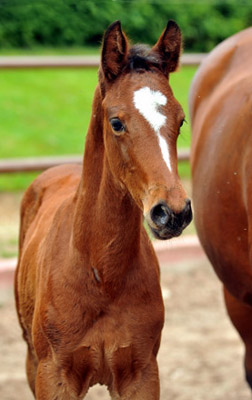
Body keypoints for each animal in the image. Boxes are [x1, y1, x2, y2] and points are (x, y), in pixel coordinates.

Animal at [14, 20, 192, 398]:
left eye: (181, 120)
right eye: (116, 122)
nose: (172, 213)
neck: (102, 277)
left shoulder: (141, 374)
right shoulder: (53, 376)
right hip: (31, 361)